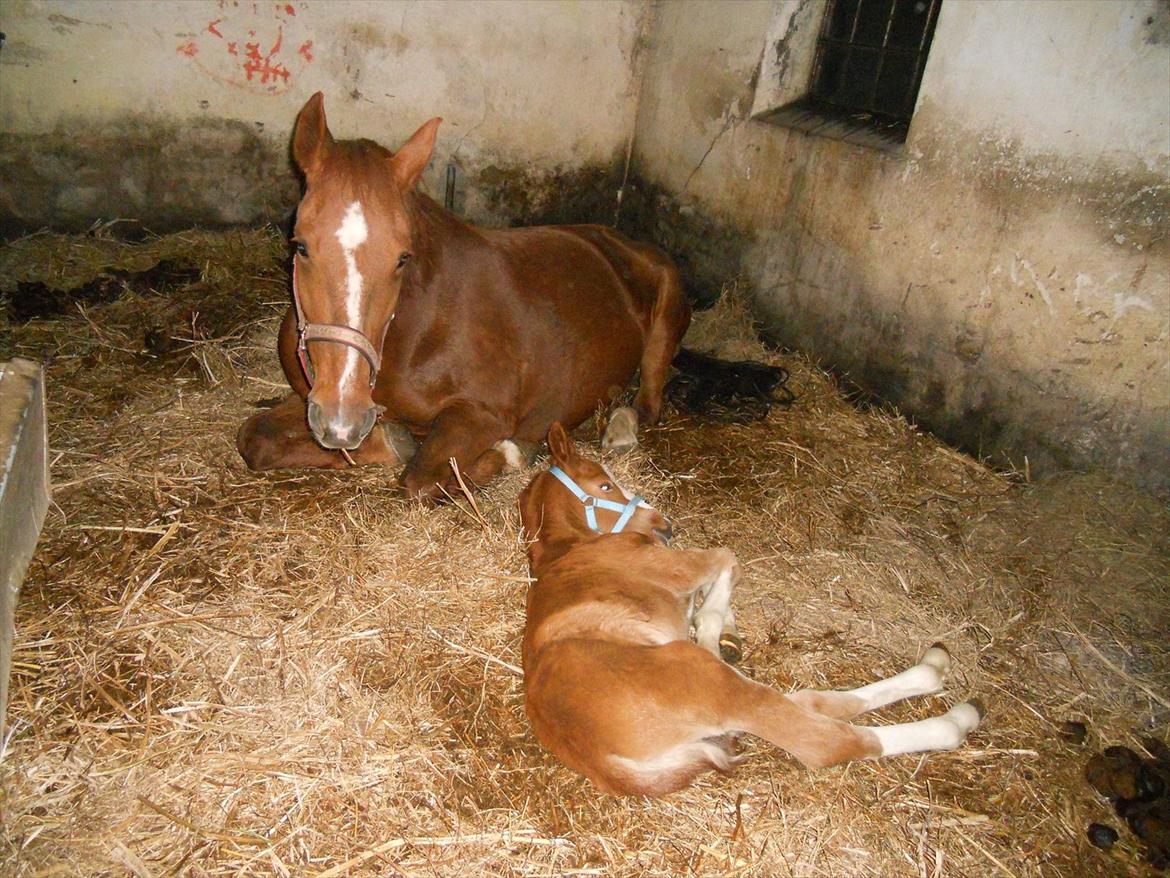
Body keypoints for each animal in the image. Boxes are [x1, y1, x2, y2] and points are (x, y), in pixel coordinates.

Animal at [241, 94, 687, 501]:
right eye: (300, 246)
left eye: (402, 257)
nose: (342, 419)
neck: (412, 332)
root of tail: (618, 240)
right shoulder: (308, 398)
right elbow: (254, 438)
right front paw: (391, 440)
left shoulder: (481, 413)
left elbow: (421, 478)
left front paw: (509, 453)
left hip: (667, 315)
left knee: (648, 403)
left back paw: (620, 428)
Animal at [517, 423, 982, 800]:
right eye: (604, 485)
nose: (665, 526)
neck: (568, 547)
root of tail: (601, 761)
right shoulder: (677, 567)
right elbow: (727, 558)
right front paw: (716, 624)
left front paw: (723, 628)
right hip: (707, 682)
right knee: (825, 738)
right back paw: (957, 718)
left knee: (811, 702)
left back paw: (933, 667)